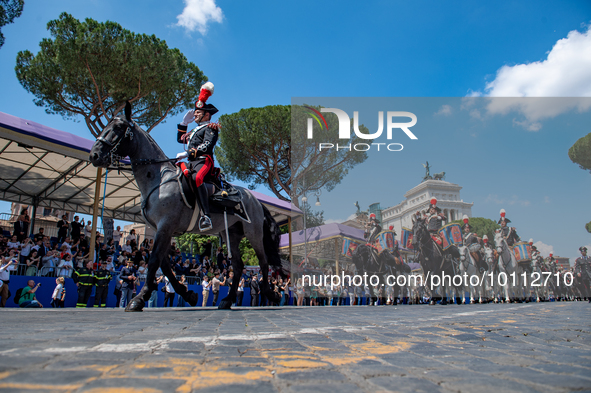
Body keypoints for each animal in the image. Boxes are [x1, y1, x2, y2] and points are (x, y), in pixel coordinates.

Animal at [89, 102, 284, 310]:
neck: (158, 179)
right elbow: (164, 264)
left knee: (263, 262)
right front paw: (187, 294)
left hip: (253, 233)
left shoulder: (165, 226)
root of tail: (255, 200)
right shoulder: (161, 229)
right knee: (239, 266)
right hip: (231, 234)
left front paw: (139, 298)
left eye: (118, 128)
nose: (94, 155)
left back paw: (270, 294)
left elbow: (154, 260)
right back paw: (227, 299)